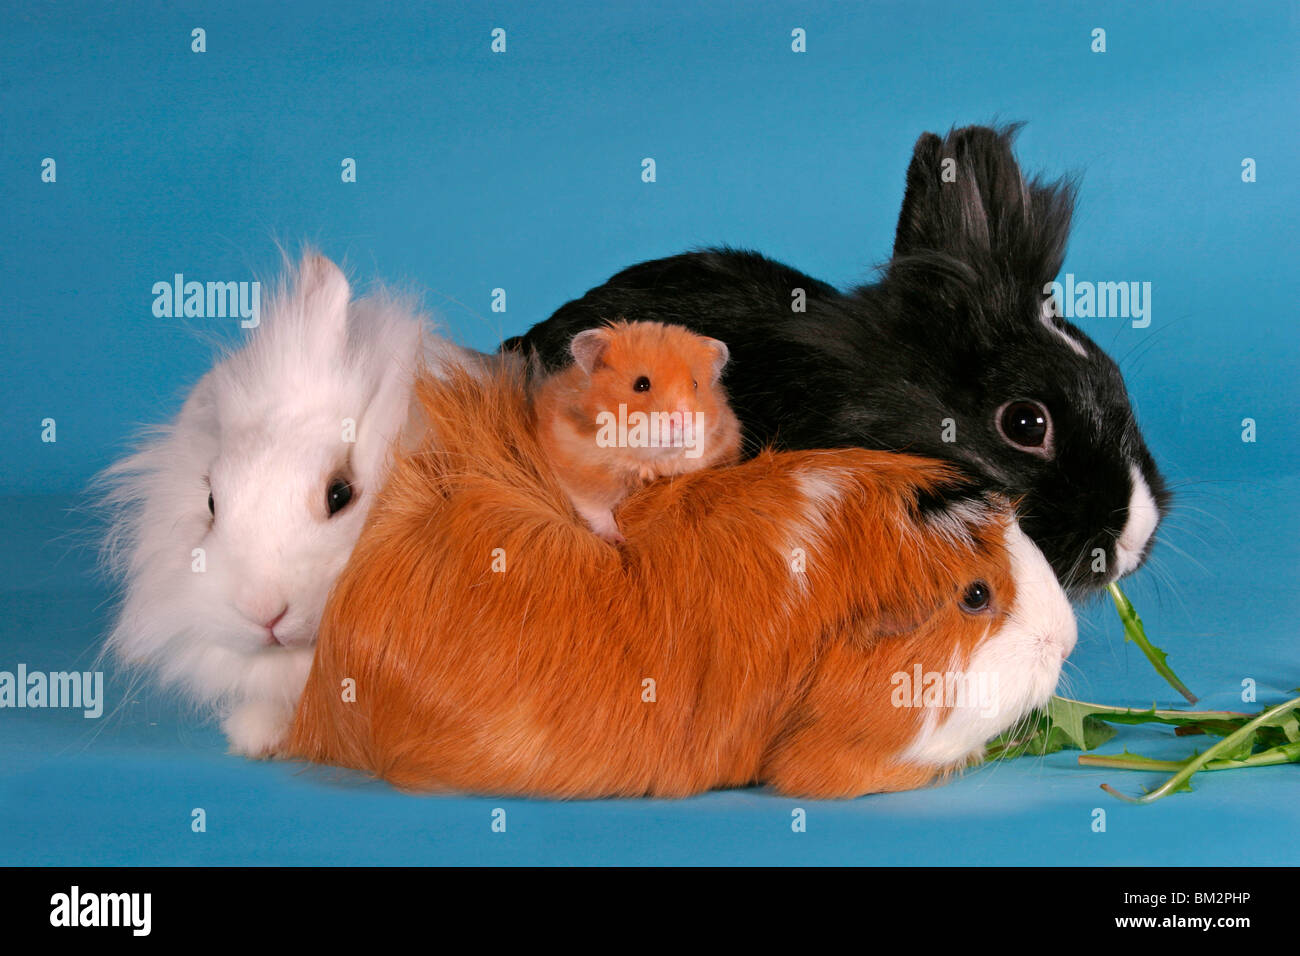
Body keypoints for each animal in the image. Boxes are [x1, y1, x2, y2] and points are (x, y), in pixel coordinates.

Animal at [531, 319, 741, 543]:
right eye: (641, 384)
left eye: (695, 384)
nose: (682, 419)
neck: (648, 458)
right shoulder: (580, 471)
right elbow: (596, 509)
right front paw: (616, 540)